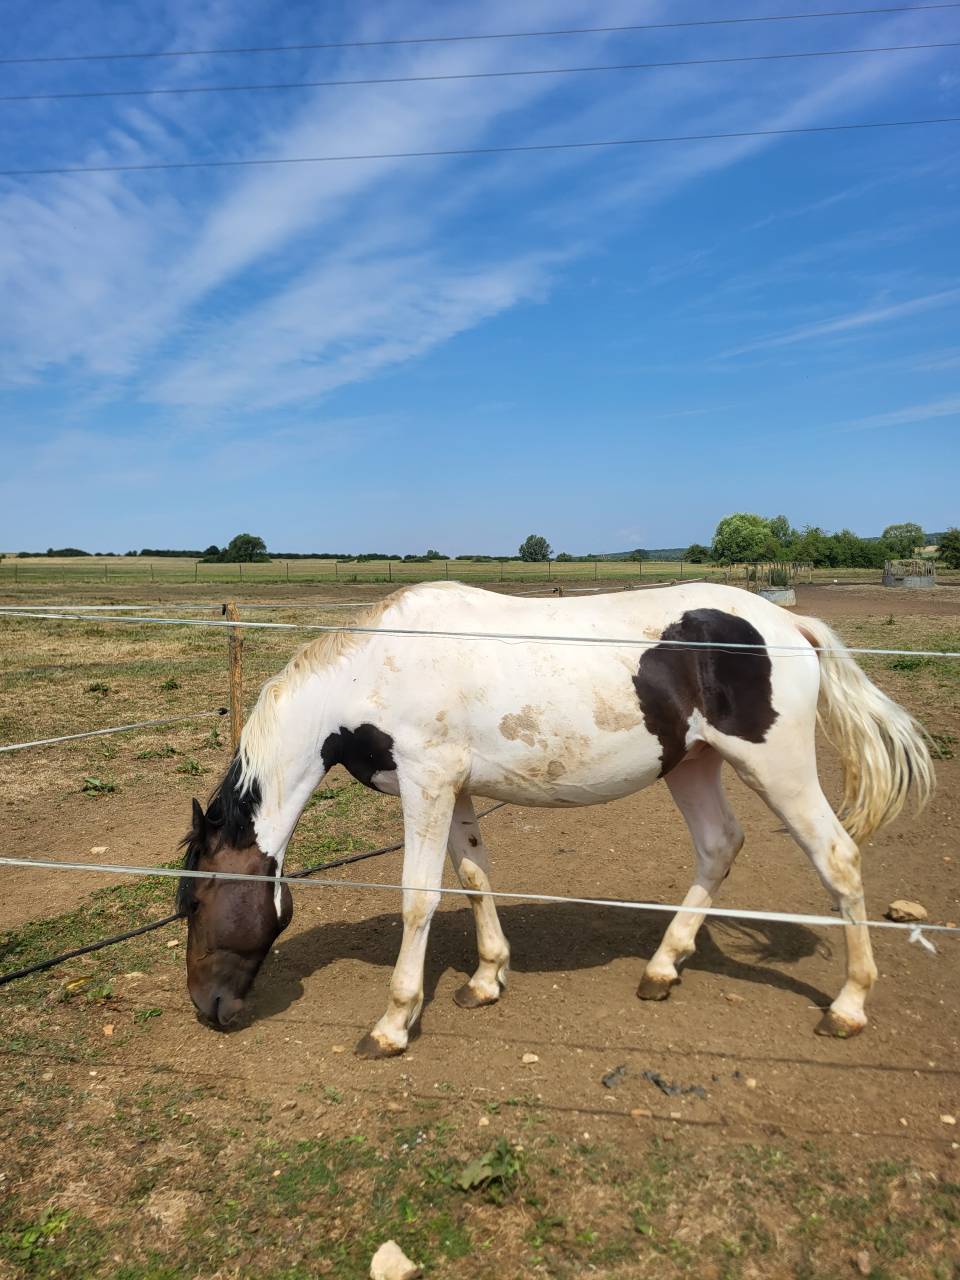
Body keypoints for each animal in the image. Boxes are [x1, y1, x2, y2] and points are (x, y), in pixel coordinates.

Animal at [178, 581, 933, 1055]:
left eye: (196, 902)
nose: (206, 1008)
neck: (375, 669)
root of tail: (786, 626)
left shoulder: (427, 785)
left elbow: (420, 897)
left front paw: (393, 1023)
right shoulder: (454, 790)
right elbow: (474, 877)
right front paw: (486, 980)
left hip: (777, 766)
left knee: (837, 858)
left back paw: (848, 1007)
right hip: (691, 766)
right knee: (720, 846)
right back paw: (662, 968)